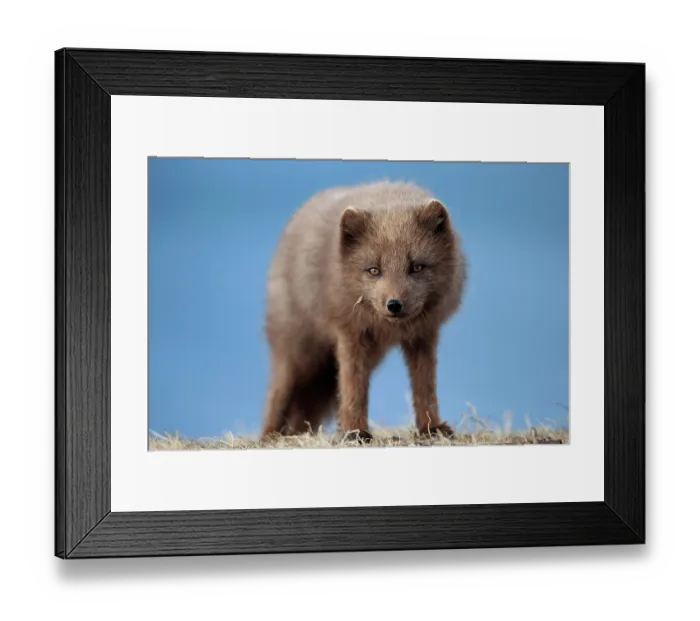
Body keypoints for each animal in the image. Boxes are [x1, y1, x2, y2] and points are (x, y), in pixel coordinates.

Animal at [262, 181, 467, 442]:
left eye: (417, 267)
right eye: (374, 270)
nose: (394, 304)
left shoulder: (424, 335)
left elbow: (425, 386)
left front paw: (431, 428)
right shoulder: (350, 333)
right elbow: (354, 387)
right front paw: (355, 432)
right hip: (299, 356)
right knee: (276, 395)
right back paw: (268, 436)